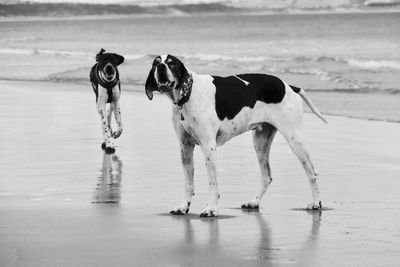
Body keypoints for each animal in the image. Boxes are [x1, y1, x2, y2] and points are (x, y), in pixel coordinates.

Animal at [145, 54, 326, 218]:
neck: (189, 95)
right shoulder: (185, 148)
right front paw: (183, 207)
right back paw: (254, 202)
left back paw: (316, 203)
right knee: (267, 177)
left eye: (171, 63)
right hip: (260, 143)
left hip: (295, 140)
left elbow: (213, 183)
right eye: (156, 63)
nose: (161, 67)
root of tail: (289, 86)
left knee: (312, 173)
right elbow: (188, 184)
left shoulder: (208, 147)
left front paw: (211, 208)